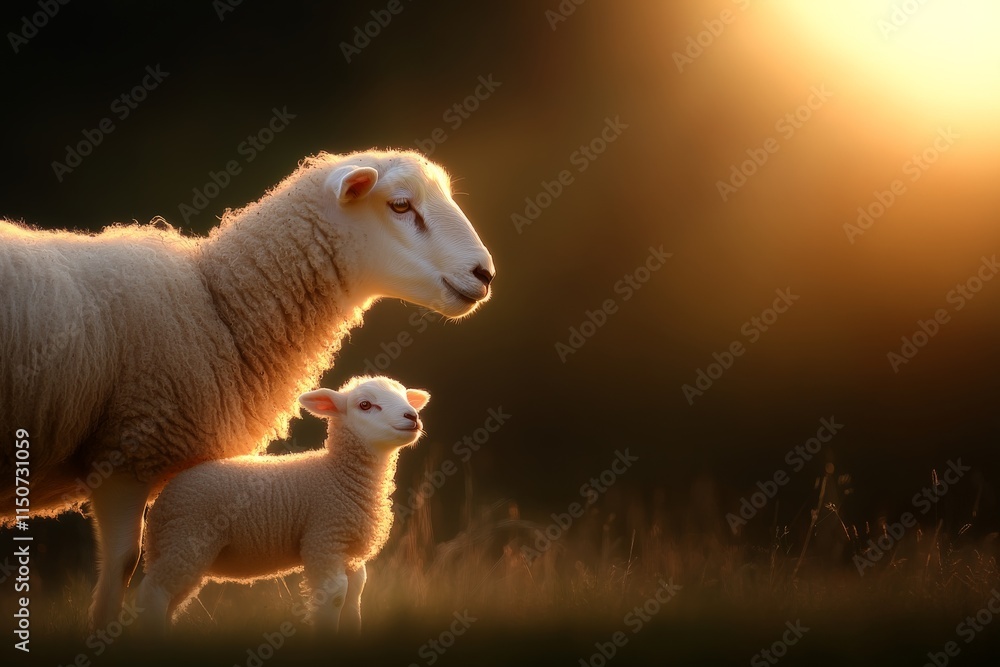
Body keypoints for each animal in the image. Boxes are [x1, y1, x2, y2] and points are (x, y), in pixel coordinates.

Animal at [134, 375, 429, 634]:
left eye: (405, 398)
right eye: (365, 405)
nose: (412, 417)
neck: (338, 475)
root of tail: (163, 499)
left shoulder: (350, 554)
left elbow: (353, 602)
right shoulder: (324, 540)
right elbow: (334, 597)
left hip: (179, 544)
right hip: (188, 537)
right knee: (153, 593)